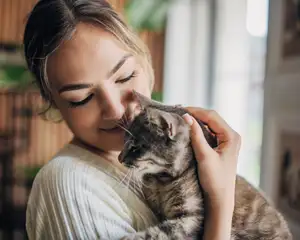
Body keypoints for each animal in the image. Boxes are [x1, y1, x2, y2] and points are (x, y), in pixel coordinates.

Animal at [118, 91, 292, 239]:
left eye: (134, 147)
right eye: (124, 140)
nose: (119, 158)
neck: (162, 180)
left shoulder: (193, 219)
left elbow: (157, 234)